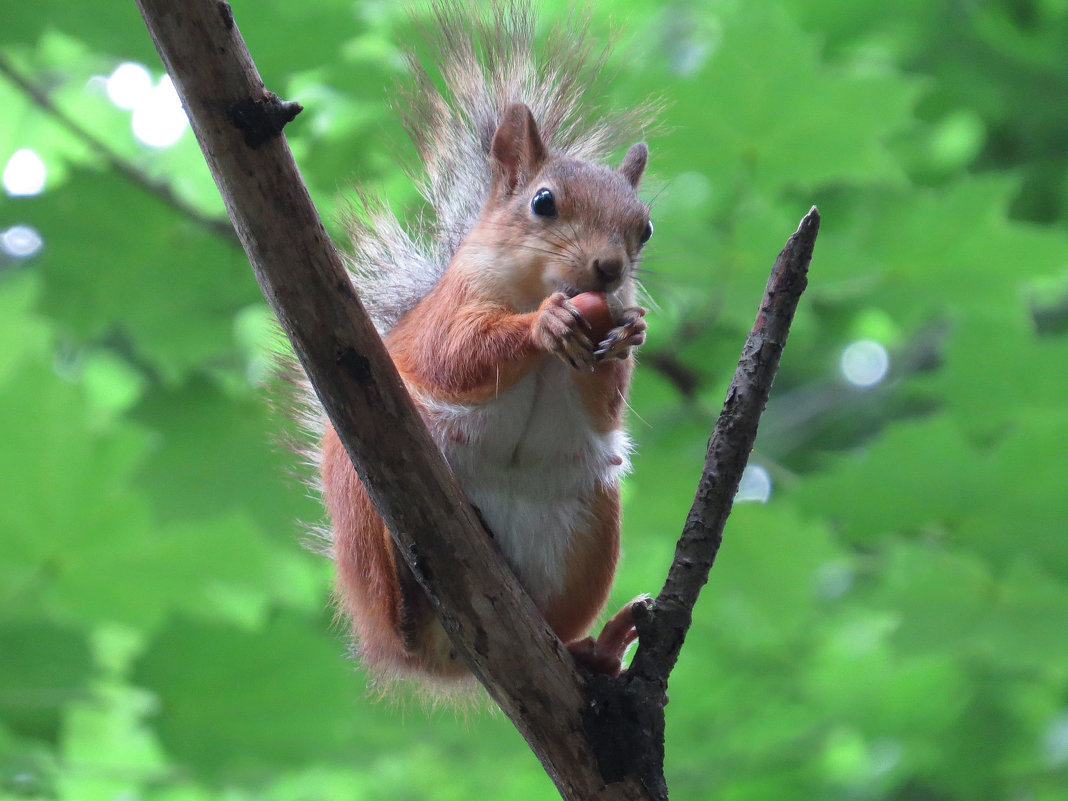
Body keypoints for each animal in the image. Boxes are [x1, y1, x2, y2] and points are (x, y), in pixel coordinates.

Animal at [299, 3, 649, 687]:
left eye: (644, 228)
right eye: (543, 201)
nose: (609, 270)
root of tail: (446, 660)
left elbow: (603, 406)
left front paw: (628, 335)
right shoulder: (451, 310)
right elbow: (456, 356)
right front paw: (543, 325)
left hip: (591, 532)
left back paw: (593, 648)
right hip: (361, 494)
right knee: (399, 615)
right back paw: (406, 594)